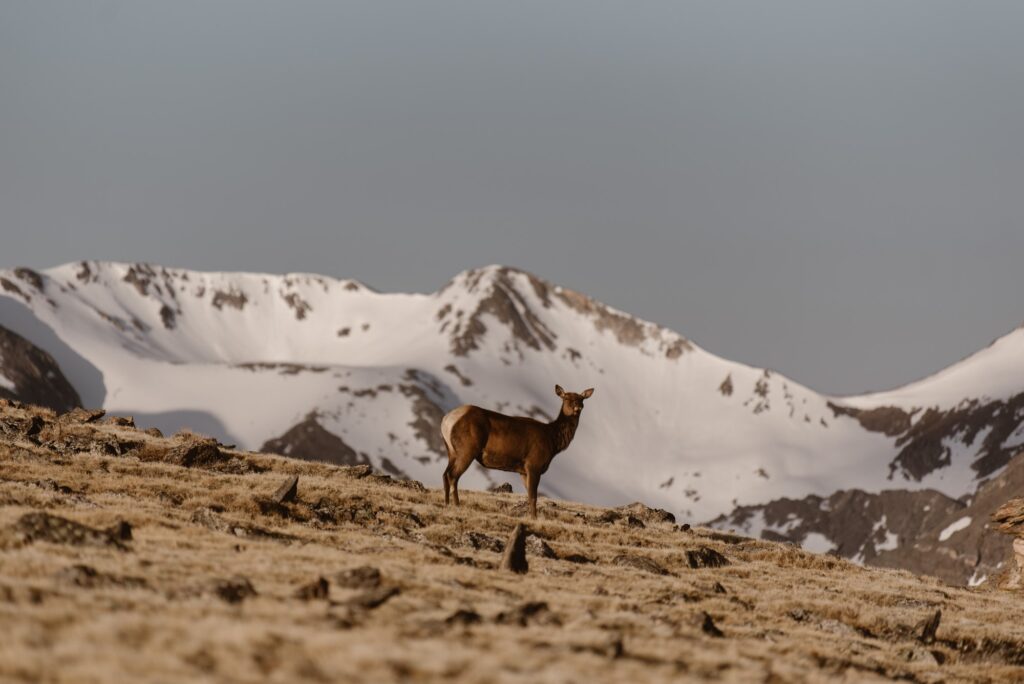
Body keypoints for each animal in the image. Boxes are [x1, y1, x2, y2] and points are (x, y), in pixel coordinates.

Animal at [438, 385, 593, 518]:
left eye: (581, 398)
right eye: (566, 398)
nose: (578, 407)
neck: (553, 442)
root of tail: (446, 419)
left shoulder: (523, 471)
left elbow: (529, 496)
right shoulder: (534, 464)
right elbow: (533, 497)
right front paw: (534, 518)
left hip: (451, 450)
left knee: (445, 474)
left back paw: (446, 504)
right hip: (467, 448)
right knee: (453, 476)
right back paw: (457, 506)